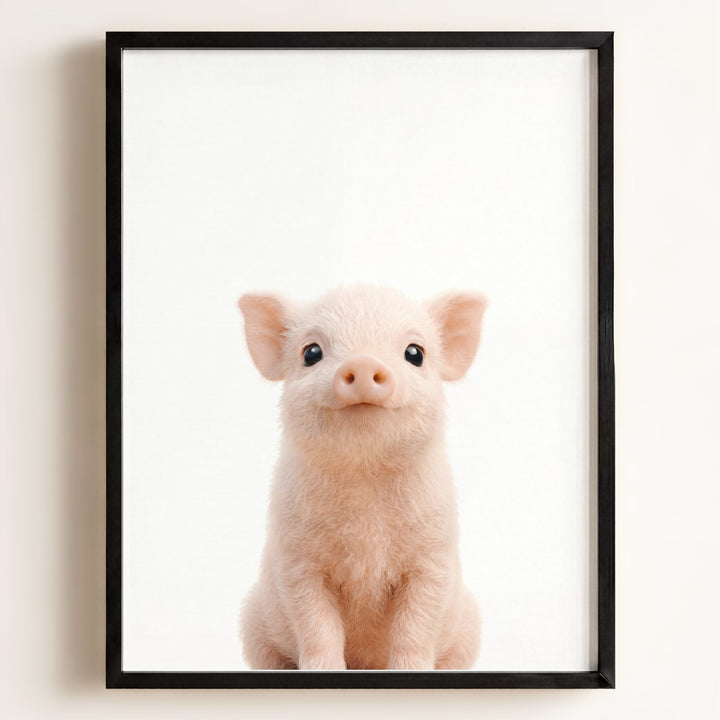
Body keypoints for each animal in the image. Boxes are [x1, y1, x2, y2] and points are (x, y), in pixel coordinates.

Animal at [238, 284, 486, 670]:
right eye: (311, 353)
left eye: (415, 353)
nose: (363, 362)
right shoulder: (297, 561)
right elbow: (317, 626)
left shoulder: (433, 557)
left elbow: (415, 626)